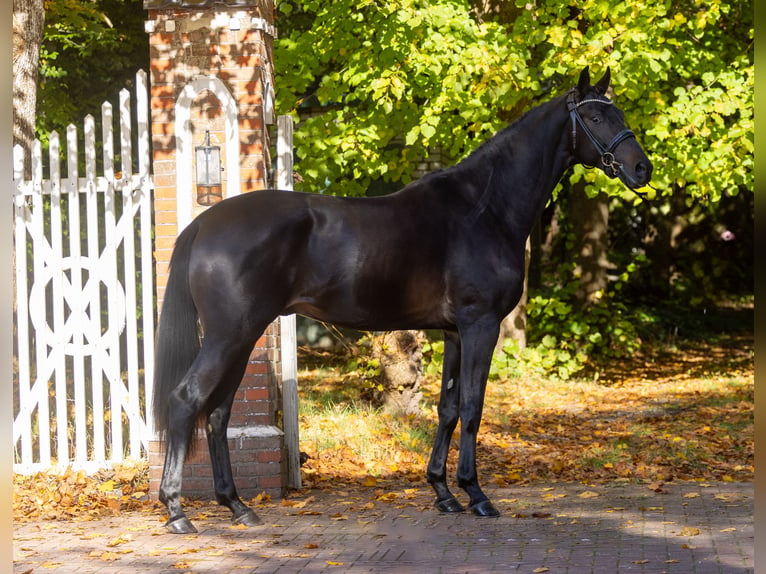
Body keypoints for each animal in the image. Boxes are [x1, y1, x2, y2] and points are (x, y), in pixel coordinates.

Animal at [154, 67, 656, 536]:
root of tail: (204, 224)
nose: (641, 169)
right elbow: (472, 407)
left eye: (619, 113)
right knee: (187, 399)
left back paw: (236, 505)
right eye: (595, 117)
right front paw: (476, 495)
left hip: (244, 336)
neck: (484, 209)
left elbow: (448, 409)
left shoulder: (455, 331)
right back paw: (177, 511)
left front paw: (443, 492)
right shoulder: (481, 325)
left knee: (218, 412)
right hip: (229, 335)